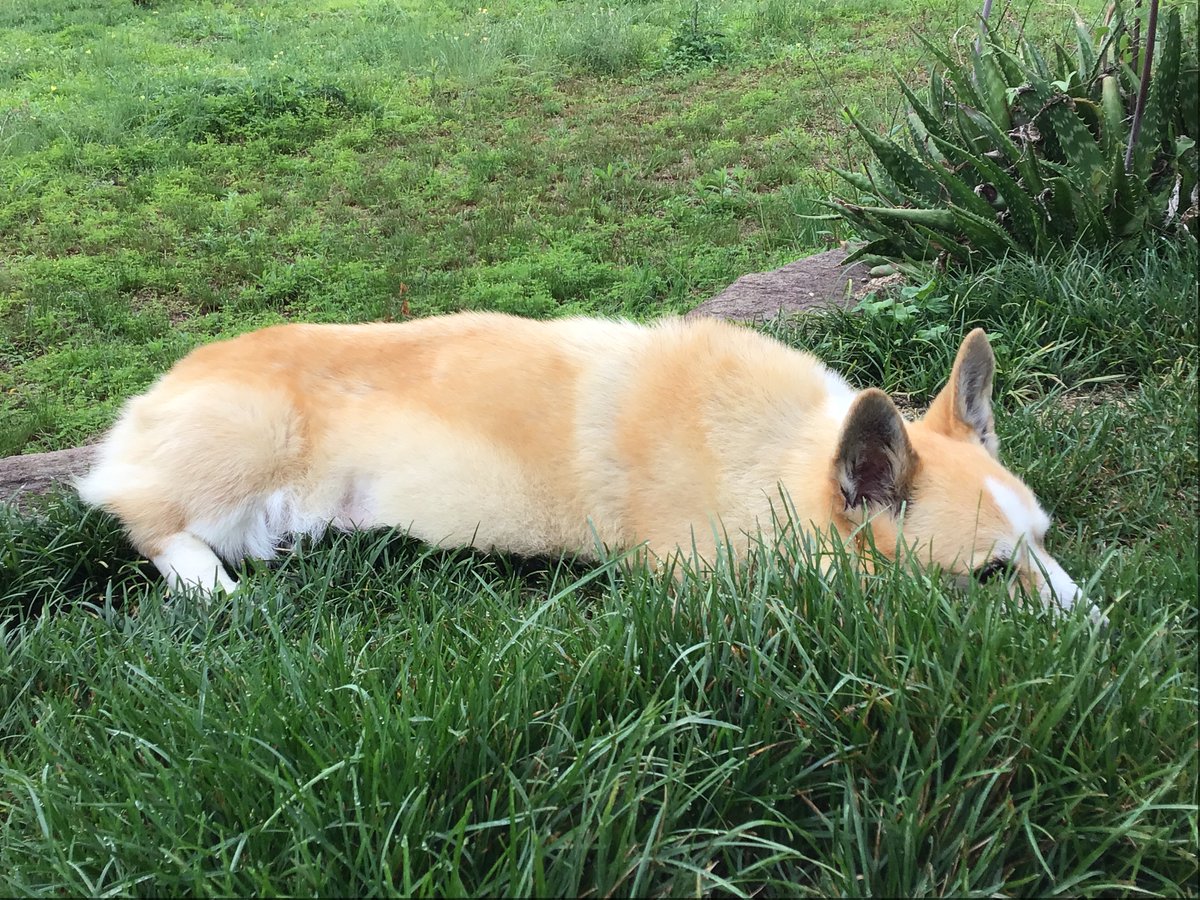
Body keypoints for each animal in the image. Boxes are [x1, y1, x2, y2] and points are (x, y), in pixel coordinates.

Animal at [75, 312, 1099, 619]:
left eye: (1046, 544)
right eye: (990, 576)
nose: (1108, 633)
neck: (779, 461)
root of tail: (150, 397)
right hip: (241, 463)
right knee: (148, 522)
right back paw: (213, 589)